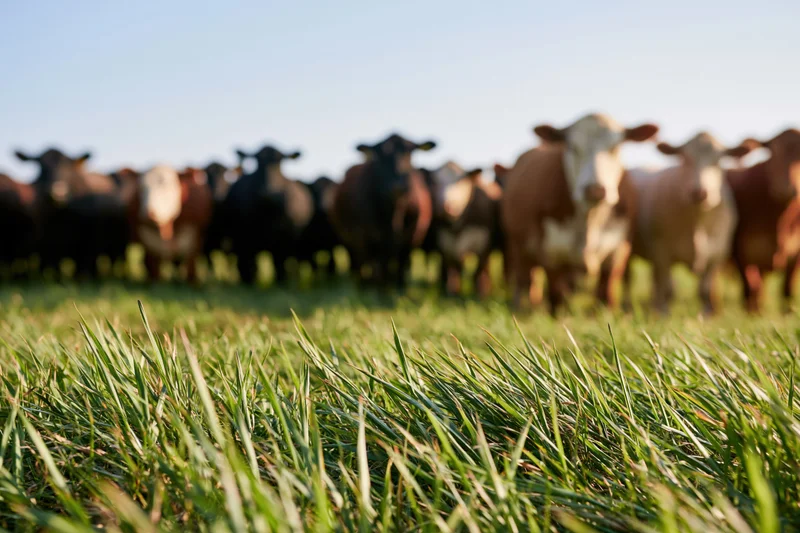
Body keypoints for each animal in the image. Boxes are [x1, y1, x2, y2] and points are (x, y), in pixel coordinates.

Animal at [224, 145, 313, 285]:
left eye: (280, 161)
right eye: (257, 161)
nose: (268, 192)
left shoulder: (286, 236)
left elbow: (280, 262)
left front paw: (281, 282)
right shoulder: (245, 236)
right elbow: (249, 263)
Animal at [331, 133, 436, 290]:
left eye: (410, 153)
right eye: (381, 156)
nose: (398, 186)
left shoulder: (412, 235)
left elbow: (400, 265)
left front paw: (399, 288)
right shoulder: (363, 236)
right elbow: (376, 266)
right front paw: (375, 289)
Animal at [501, 113, 659, 315]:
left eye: (615, 147)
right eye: (572, 147)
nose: (595, 190)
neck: (589, 220)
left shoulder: (619, 250)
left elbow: (605, 292)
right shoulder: (551, 252)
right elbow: (556, 295)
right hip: (517, 245)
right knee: (524, 279)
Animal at [624, 132, 756, 314]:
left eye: (718, 160)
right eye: (685, 158)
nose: (700, 193)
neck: (697, 222)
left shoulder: (718, 253)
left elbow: (705, 290)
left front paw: (706, 314)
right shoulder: (661, 252)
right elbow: (668, 288)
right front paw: (663, 313)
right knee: (631, 279)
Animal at [727, 128, 800, 313]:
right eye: (773, 152)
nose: (786, 188)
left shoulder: (796, 253)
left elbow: (787, 289)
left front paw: (788, 313)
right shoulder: (740, 251)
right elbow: (750, 288)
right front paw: (751, 314)